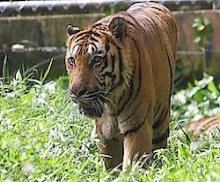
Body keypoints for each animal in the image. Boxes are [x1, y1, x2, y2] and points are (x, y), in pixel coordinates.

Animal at [65, 2, 177, 171]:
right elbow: (111, 166)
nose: (76, 92)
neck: (111, 103)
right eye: (72, 60)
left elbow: (132, 164)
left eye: (96, 60)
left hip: (161, 120)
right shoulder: (104, 133)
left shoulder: (137, 126)